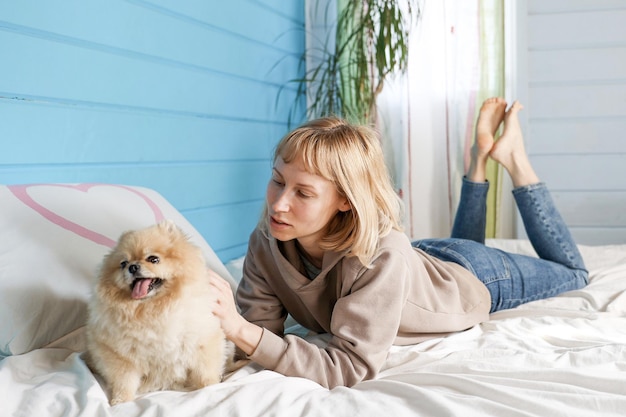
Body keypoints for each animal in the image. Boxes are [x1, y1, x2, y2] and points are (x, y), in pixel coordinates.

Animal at [85, 219, 234, 404]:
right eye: (123, 263)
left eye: (153, 259)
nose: (132, 267)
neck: (153, 310)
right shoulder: (119, 356)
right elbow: (124, 381)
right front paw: (121, 401)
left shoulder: (202, 342)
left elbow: (205, 374)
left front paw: (211, 388)